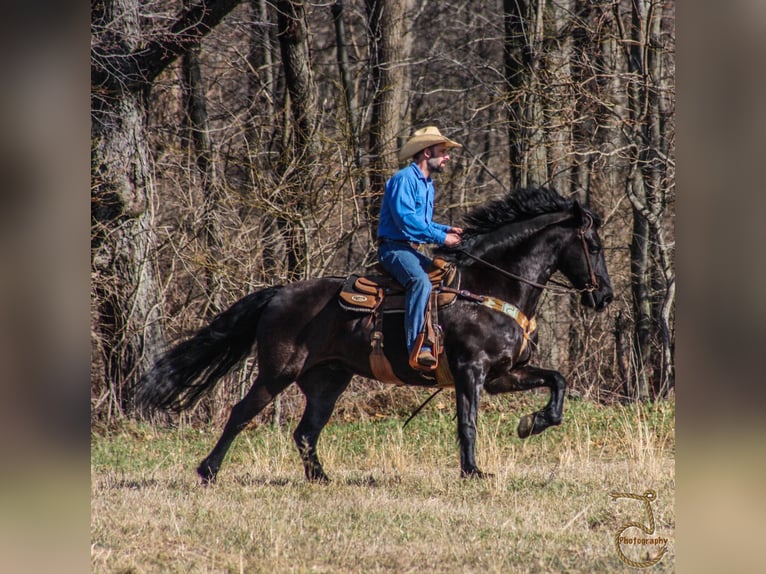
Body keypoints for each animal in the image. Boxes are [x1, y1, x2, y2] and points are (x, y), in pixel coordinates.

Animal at [138, 188, 616, 482]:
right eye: (593, 246)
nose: (605, 297)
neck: (490, 287)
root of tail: (278, 293)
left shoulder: (502, 375)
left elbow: (557, 381)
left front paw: (532, 423)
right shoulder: (471, 372)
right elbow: (468, 423)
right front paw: (473, 471)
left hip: (327, 381)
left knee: (305, 432)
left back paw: (322, 478)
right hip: (277, 373)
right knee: (241, 414)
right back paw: (208, 471)